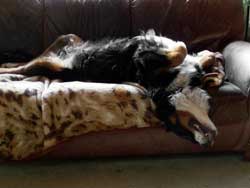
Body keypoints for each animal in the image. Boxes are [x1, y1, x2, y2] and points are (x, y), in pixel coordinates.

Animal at [0, 30, 225, 146]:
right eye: (180, 127)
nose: (208, 142)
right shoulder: (142, 59)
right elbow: (181, 50)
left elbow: (203, 58)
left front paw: (210, 65)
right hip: (53, 58)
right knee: (23, 66)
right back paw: (5, 69)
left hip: (65, 44)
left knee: (26, 61)